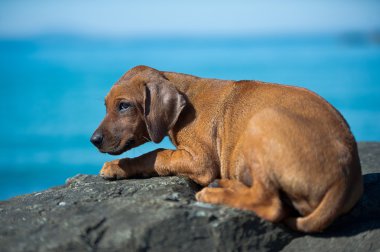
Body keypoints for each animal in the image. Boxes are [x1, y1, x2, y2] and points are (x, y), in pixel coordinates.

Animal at [90, 65, 364, 232]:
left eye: (124, 106)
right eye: (106, 106)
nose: (93, 140)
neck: (186, 98)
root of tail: (345, 177)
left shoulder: (201, 161)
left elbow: (156, 155)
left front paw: (118, 166)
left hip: (260, 123)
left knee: (270, 203)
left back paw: (214, 195)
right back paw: (225, 185)